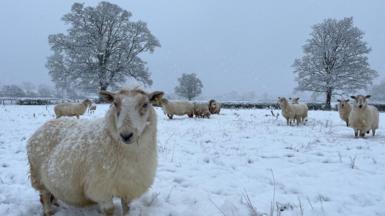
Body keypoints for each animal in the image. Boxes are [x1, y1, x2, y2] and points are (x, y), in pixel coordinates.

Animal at [26, 88, 162, 216]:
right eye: (115, 103)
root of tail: (43, 126)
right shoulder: (101, 188)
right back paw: (49, 211)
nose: (126, 135)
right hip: (38, 176)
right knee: (44, 197)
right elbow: (109, 210)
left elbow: (127, 208)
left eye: (145, 104)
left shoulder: (128, 187)